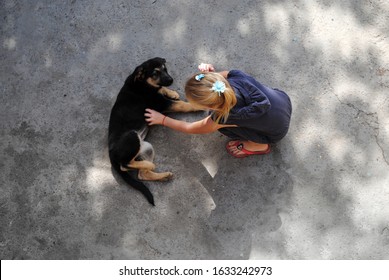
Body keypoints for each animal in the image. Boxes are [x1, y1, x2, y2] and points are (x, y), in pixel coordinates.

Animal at [107, 57, 196, 206]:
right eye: (155, 73)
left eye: (165, 69)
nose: (171, 80)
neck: (142, 82)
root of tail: (110, 152)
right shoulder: (162, 103)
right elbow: (183, 105)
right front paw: (198, 105)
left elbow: (162, 88)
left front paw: (172, 92)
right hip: (131, 137)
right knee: (125, 165)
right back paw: (151, 165)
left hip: (146, 147)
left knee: (142, 174)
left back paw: (163, 175)